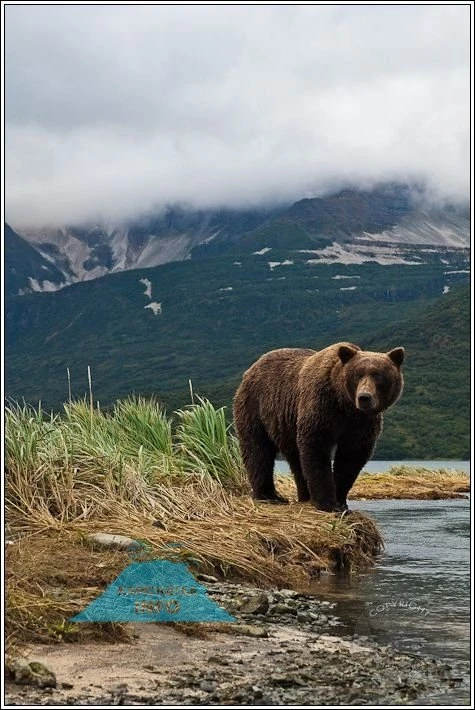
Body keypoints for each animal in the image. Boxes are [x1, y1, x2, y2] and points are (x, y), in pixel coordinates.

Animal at [233, 342, 404, 512]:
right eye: (358, 375)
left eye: (379, 376)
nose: (364, 397)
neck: (344, 405)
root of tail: (253, 367)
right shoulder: (322, 408)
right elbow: (316, 449)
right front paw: (327, 503)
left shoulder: (361, 424)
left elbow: (352, 457)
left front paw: (340, 501)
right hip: (256, 406)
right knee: (258, 450)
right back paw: (269, 495)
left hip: (287, 424)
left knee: (296, 459)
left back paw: (304, 496)